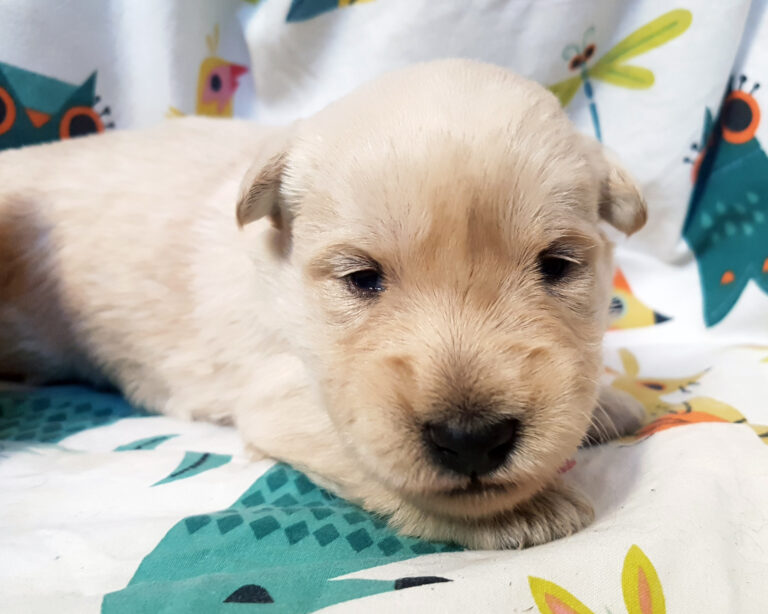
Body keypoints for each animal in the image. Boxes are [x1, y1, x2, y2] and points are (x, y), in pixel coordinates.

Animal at [0, 61, 644, 552]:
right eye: (362, 278)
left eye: (557, 266)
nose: (471, 439)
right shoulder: (282, 393)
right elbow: (365, 450)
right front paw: (522, 511)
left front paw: (610, 403)